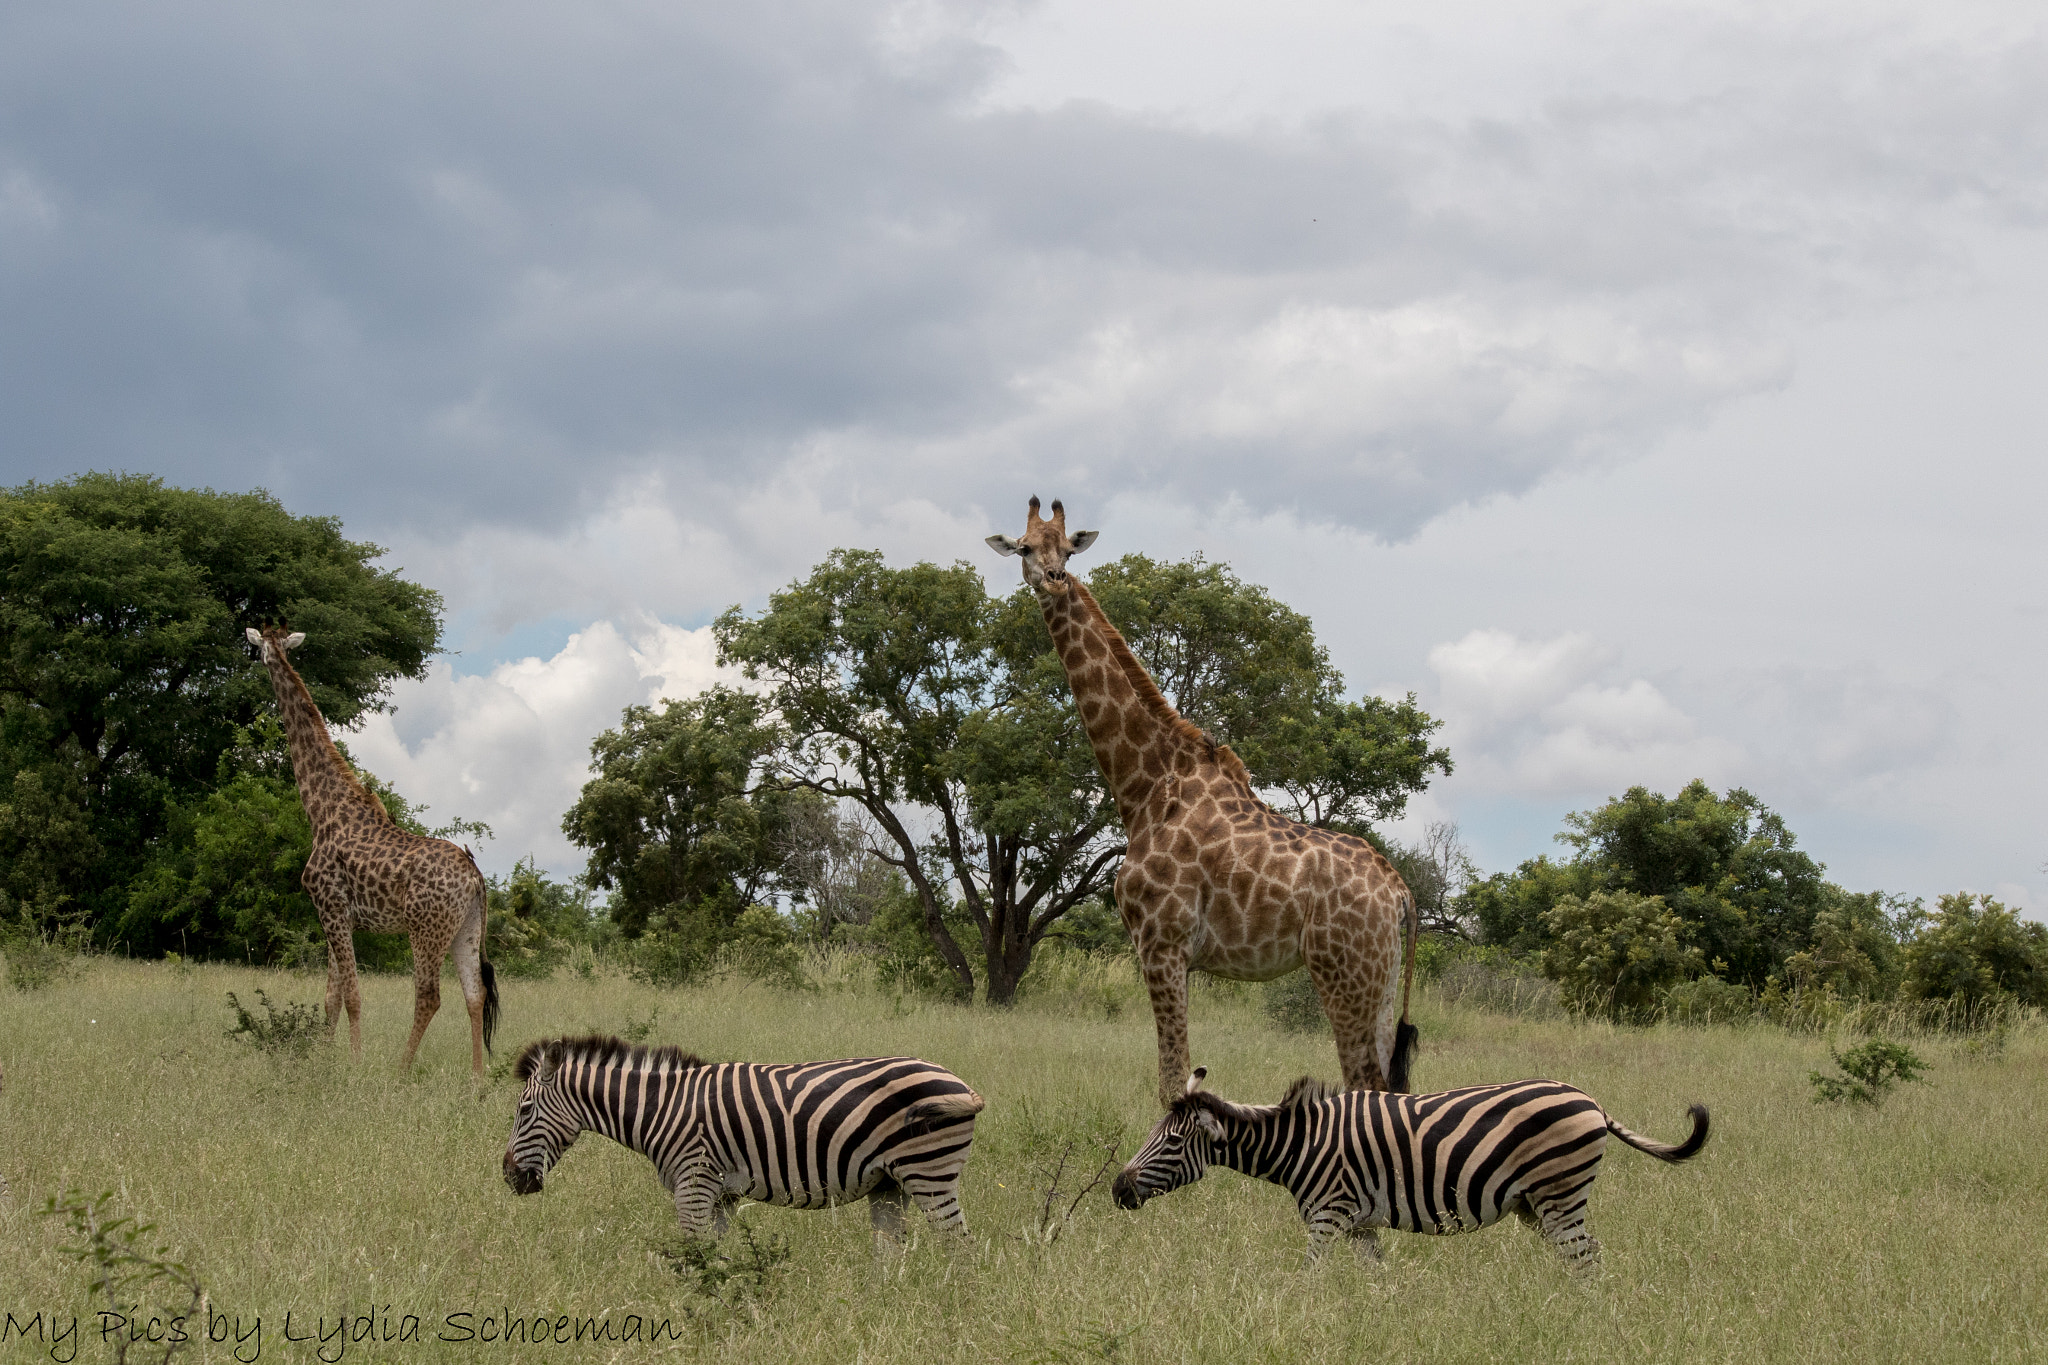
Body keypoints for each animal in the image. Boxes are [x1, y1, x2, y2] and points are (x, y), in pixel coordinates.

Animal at [246, 626, 499, 1074]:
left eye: (258, 649)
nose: (258, 659)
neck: (322, 810)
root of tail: (475, 877)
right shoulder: (336, 915)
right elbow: (330, 997)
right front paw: (325, 1058)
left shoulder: (331, 907)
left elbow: (351, 995)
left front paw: (354, 1062)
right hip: (466, 928)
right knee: (475, 995)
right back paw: (476, 1077)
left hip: (425, 929)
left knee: (429, 997)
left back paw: (400, 1069)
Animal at [502, 1035, 986, 1246]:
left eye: (523, 1112)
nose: (509, 1178)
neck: (662, 1109)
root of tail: (963, 1085)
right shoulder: (721, 1196)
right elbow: (720, 1257)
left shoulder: (693, 1184)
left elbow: (695, 1254)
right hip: (889, 1184)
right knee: (891, 1252)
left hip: (929, 1172)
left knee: (959, 1245)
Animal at [989, 499, 1418, 1107]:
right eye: (1026, 547)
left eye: (1068, 550)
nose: (1052, 578)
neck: (1146, 786)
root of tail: (1401, 893)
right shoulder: (1174, 955)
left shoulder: (1160, 942)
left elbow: (1172, 1082)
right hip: (1381, 983)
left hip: (1345, 976)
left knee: (1366, 1086)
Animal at [1112, 1068, 1708, 1271]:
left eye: (1170, 1143)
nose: (1117, 1188)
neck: (1303, 1144)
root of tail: (1592, 1101)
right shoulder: (1359, 1224)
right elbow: (1377, 1279)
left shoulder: (1328, 1215)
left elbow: (1308, 1276)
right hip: (1537, 1206)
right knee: (1581, 1257)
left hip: (1560, 1195)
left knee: (1586, 1259)